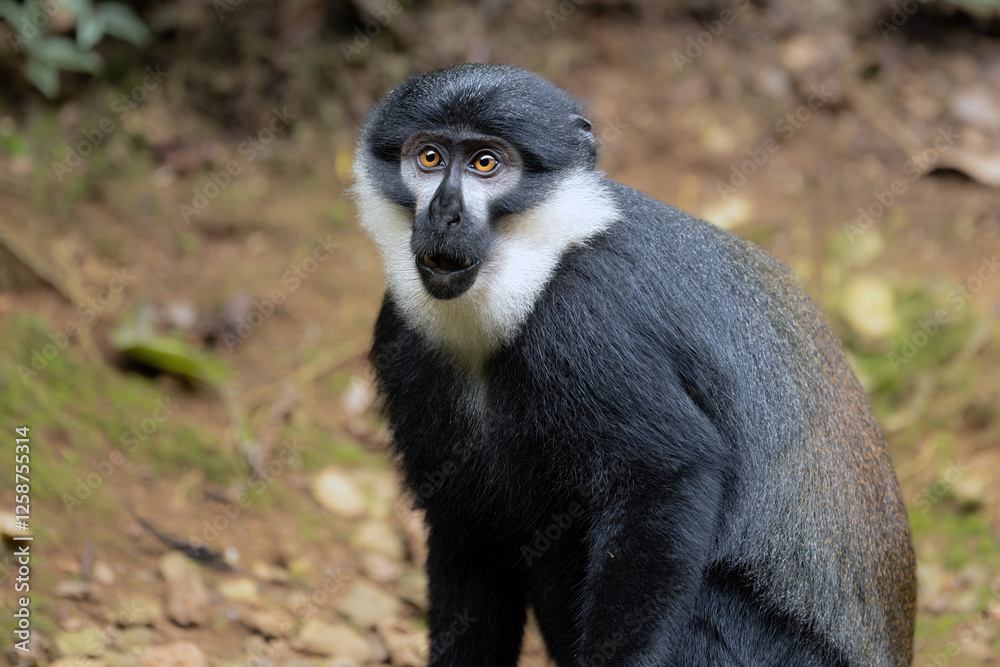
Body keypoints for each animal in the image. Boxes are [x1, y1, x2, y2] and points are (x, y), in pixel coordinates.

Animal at [352, 63, 916, 667]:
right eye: (429, 157)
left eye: (486, 163)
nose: (445, 211)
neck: (539, 265)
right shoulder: (401, 334)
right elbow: (469, 526)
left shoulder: (585, 317)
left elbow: (668, 478)